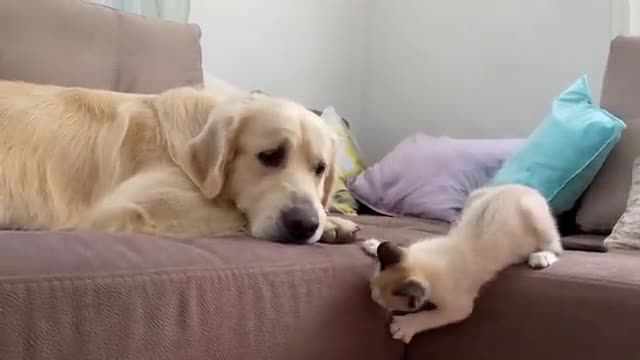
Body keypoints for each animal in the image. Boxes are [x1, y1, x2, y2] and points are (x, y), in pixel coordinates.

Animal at [362, 184, 564, 344]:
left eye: (383, 304)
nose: (371, 297)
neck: (424, 263)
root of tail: (524, 187)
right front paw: (375, 245)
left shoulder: (459, 306)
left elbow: (433, 316)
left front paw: (404, 326)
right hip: (475, 196)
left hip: (532, 213)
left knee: (556, 246)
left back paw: (542, 257)